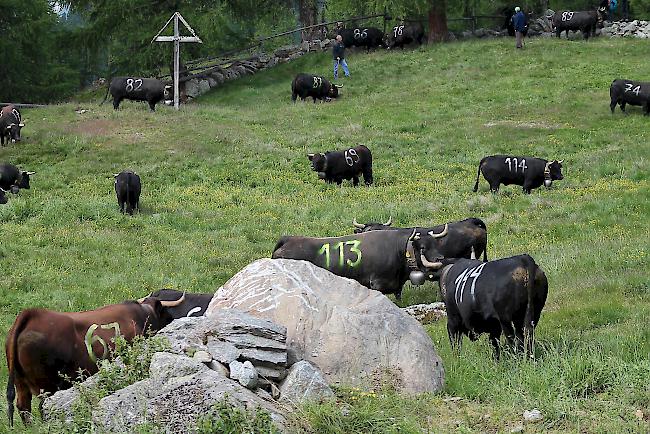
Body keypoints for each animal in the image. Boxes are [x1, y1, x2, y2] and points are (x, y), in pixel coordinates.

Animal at [5, 294, 185, 426]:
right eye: (166, 314)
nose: (173, 320)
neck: (142, 316)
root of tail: (31, 314)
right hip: (46, 386)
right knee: (42, 407)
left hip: (21, 383)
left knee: (23, 407)